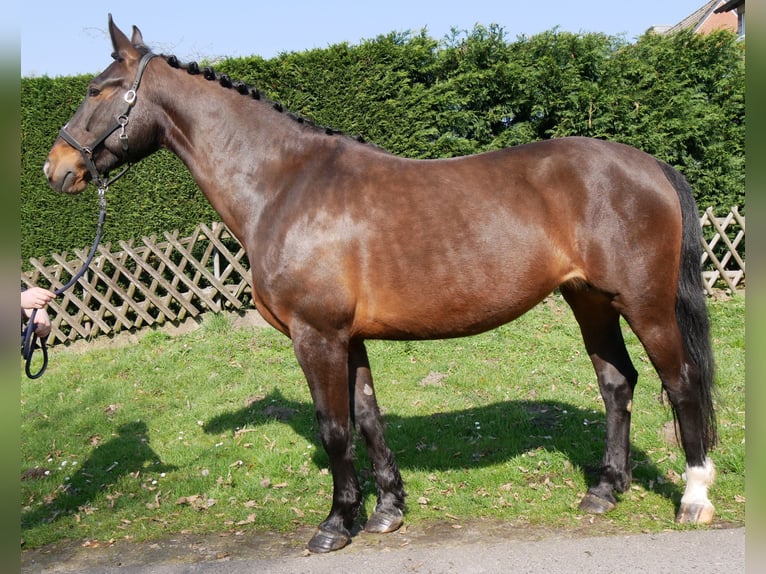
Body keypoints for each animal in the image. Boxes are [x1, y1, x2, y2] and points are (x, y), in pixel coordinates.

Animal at [44, 16, 717, 553]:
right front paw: (388, 511)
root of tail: (650, 164)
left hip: (645, 306)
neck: (283, 184)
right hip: (590, 301)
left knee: (681, 384)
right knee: (617, 383)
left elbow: (334, 427)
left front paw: (336, 524)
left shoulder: (315, 336)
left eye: (98, 89)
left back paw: (694, 497)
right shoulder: (349, 337)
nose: (58, 168)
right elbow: (367, 417)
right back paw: (605, 490)